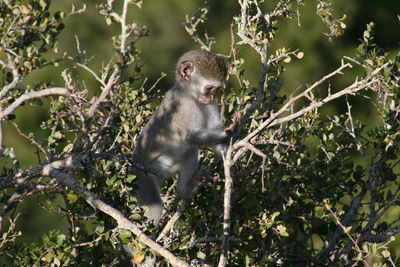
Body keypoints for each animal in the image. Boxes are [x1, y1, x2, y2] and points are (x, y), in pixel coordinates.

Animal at [133, 50, 242, 226]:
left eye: (217, 90)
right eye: (209, 88)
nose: (211, 97)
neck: (190, 96)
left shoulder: (209, 105)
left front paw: (229, 153)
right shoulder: (180, 104)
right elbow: (190, 136)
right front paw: (229, 132)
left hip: (166, 167)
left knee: (190, 151)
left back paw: (183, 190)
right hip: (143, 176)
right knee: (154, 206)